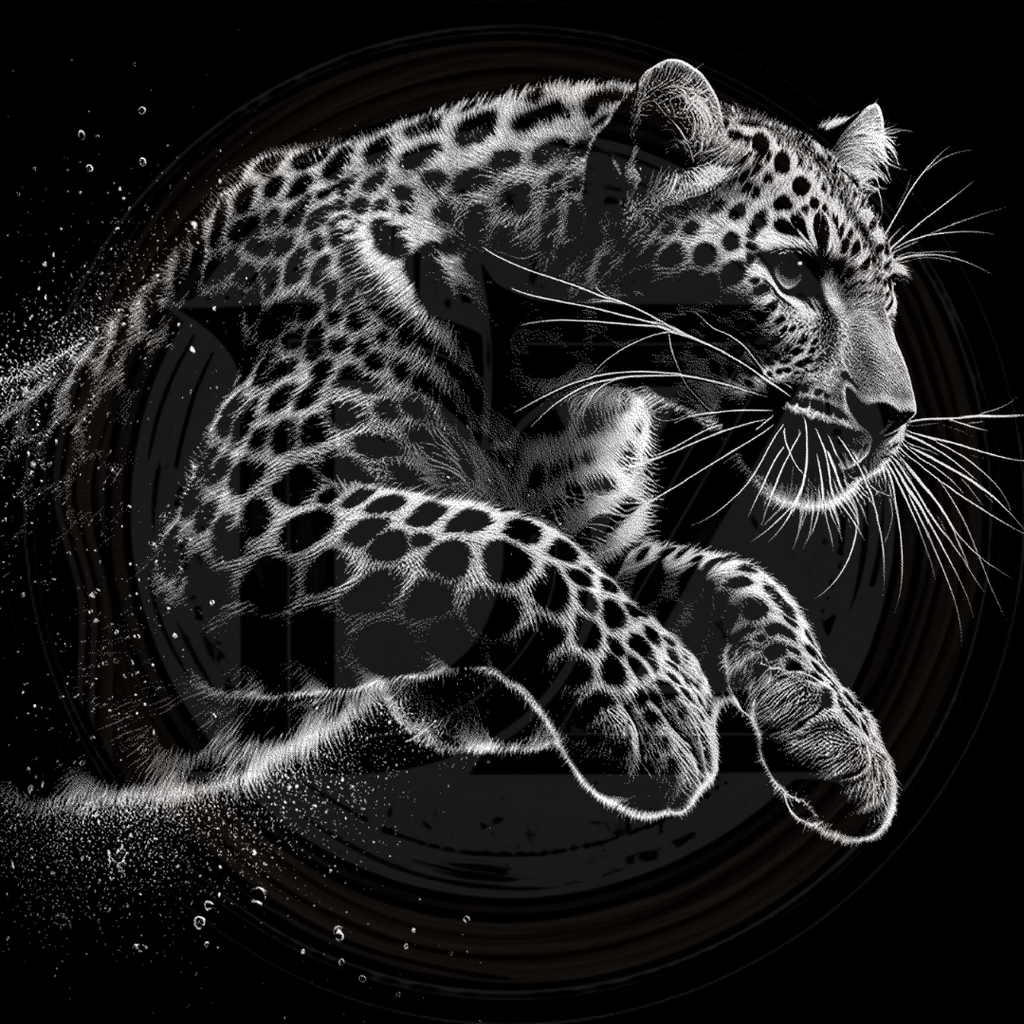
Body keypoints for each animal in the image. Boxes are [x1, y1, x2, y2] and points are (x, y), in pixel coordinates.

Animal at [15, 59, 932, 845]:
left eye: (888, 293)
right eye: (792, 274)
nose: (895, 416)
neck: (558, 388)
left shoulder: (530, 610)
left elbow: (731, 574)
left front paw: (833, 731)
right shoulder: (239, 518)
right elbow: (505, 540)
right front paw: (661, 705)